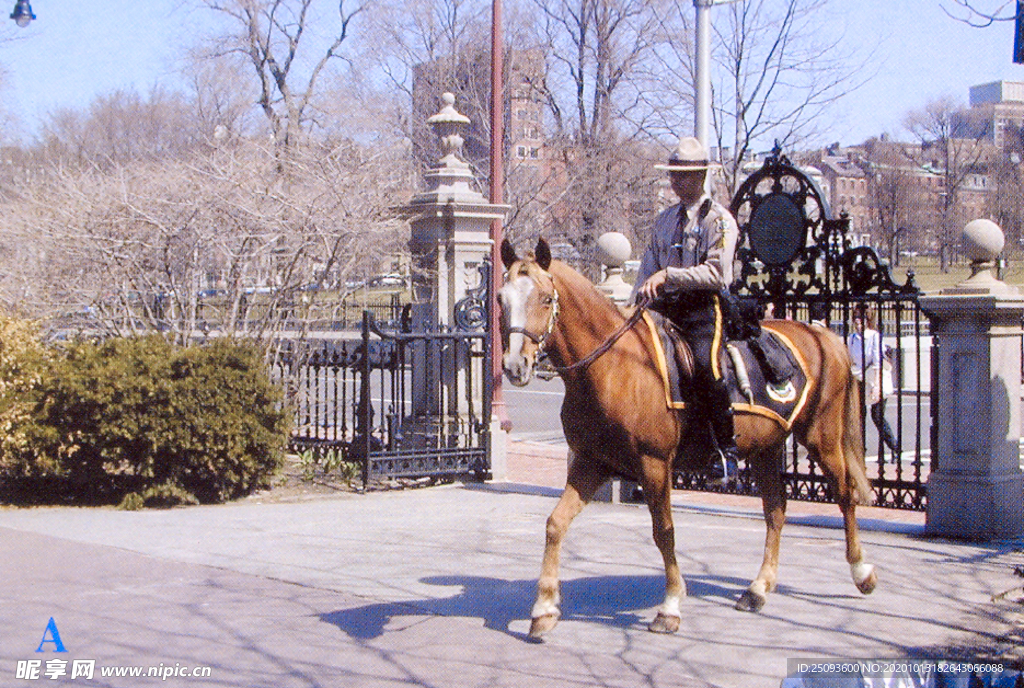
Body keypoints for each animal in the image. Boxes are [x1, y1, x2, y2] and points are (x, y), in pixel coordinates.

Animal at [499, 239, 876, 638]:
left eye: (544, 298)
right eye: (500, 299)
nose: (515, 365)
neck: (612, 366)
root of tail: (824, 335)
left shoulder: (653, 464)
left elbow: (663, 531)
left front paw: (670, 606)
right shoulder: (593, 462)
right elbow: (555, 524)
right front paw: (543, 609)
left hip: (821, 437)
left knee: (845, 494)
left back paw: (861, 572)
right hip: (767, 447)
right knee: (776, 509)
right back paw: (758, 589)